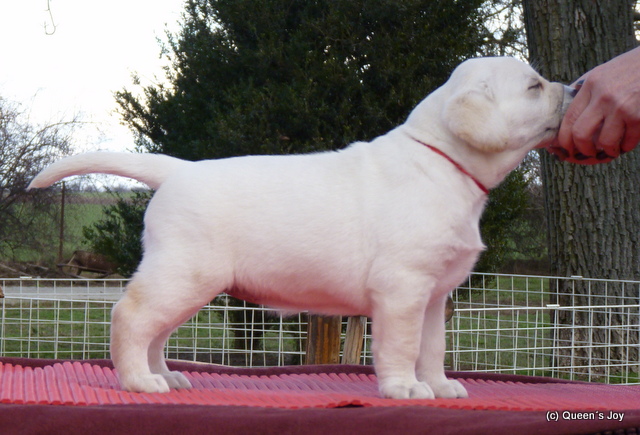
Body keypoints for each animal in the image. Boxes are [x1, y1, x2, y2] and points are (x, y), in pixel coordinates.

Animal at [29, 57, 573, 399]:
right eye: (533, 86)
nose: (573, 89)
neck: (442, 162)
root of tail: (179, 170)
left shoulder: (435, 295)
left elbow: (432, 347)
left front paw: (439, 386)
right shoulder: (402, 289)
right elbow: (402, 346)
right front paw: (405, 388)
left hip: (186, 280)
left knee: (155, 332)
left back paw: (164, 376)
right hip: (183, 273)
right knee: (132, 316)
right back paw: (139, 382)